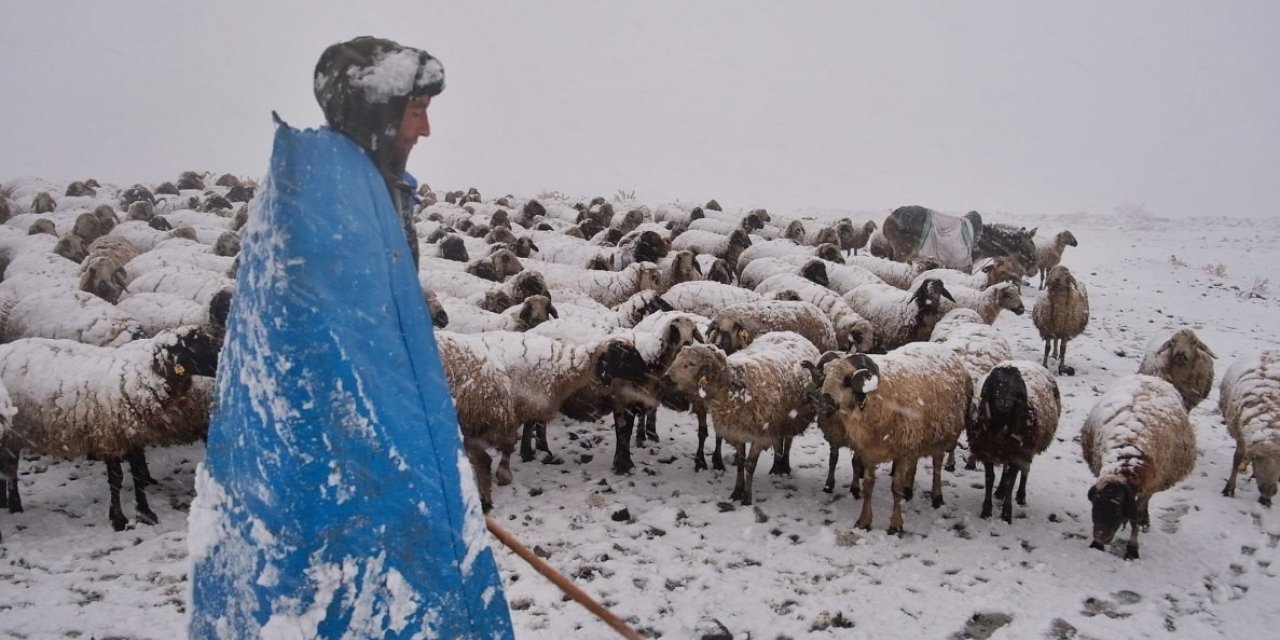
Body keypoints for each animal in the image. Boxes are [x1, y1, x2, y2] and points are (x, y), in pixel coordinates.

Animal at [0, 325, 222, 529]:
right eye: (197, 346)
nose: (223, 360)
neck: (139, 379)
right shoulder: (109, 437)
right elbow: (116, 479)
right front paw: (118, 519)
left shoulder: (133, 436)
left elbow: (138, 475)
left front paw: (146, 513)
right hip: (12, 433)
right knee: (11, 468)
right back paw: (15, 505)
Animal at [660, 330, 819, 504]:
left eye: (690, 364)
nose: (664, 380)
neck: (734, 389)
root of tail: (790, 332)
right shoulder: (737, 431)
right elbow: (740, 463)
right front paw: (736, 492)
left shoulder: (759, 436)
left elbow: (750, 465)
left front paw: (747, 498)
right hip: (777, 421)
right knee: (778, 440)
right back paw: (776, 467)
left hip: (791, 419)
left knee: (788, 440)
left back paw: (784, 466)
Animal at [814, 343, 972, 532]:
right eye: (825, 375)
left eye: (847, 379)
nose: (823, 403)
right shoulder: (868, 452)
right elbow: (868, 487)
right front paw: (864, 521)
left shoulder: (902, 452)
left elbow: (896, 488)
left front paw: (896, 524)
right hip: (917, 438)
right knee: (915, 462)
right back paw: (909, 490)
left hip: (940, 435)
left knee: (937, 465)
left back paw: (937, 496)